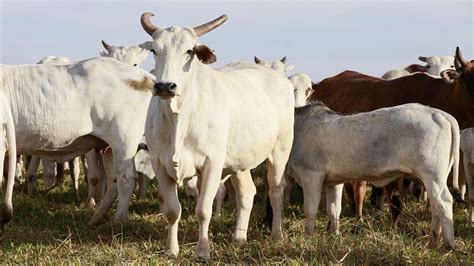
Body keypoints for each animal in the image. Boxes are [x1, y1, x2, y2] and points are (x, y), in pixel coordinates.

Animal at [0, 56, 154, 227]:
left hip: (124, 141)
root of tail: (143, 76)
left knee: (126, 179)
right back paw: (96, 218)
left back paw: (118, 220)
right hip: (108, 147)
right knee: (114, 180)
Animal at [139, 11, 294, 258]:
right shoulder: (160, 164)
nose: (165, 86)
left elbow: (203, 209)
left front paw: (203, 251)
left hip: (280, 151)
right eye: (154, 50)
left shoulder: (212, 163)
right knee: (247, 193)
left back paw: (276, 234)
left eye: (189, 50)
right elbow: (172, 211)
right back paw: (239, 238)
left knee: (276, 190)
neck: (179, 117)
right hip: (240, 161)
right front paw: (171, 250)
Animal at [286, 102, 462, 249]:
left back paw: (448, 244)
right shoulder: (333, 181)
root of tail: (438, 113)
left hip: (433, 176)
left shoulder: (311, 175)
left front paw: (308, 237)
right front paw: (333, 235)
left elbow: (310, 210)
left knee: (444, 202)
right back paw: (433, 240)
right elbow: (334, 209)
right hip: (432, 179)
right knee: (435, 205)